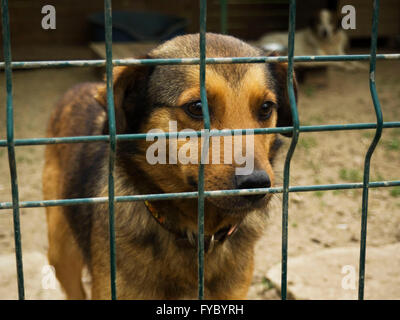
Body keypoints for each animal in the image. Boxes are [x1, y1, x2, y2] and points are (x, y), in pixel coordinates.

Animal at [42, 33, 296, 300]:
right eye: (197, 107)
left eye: (266, 108)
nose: (256, 184)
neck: (199, 234)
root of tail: (79, 87)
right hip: (61, 251)